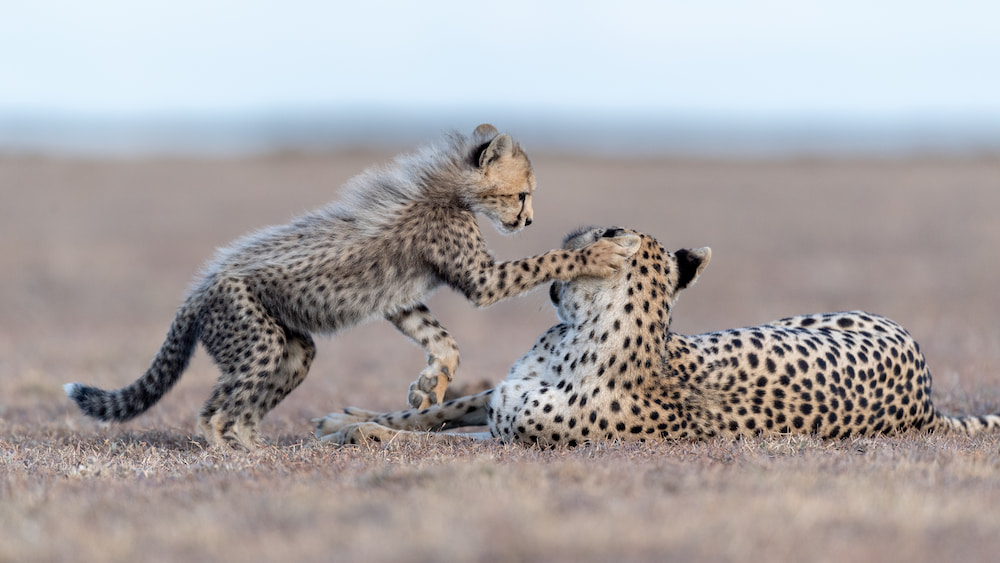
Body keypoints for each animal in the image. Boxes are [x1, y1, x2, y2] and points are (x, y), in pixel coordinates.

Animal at [63, 125, 632, 450]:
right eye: (522, 194)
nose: (529, 219)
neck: (450, 189)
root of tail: (200, 286)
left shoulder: (400, 299)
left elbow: (440, 339)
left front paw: (431, 384)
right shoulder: (482, 279)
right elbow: (541, 263)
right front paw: (597, 255)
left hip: (290, 349)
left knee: (253, 396)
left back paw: (257, 445)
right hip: (256, 339)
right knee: (215, 409)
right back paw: (232, 453)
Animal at [315, 226, 1000, 447]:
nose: (554, 274)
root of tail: (928, 402)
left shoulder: (515, 437)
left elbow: (442, 437)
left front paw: (359, 432)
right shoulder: (498, 397)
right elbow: (435, 414)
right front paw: (347, 417)